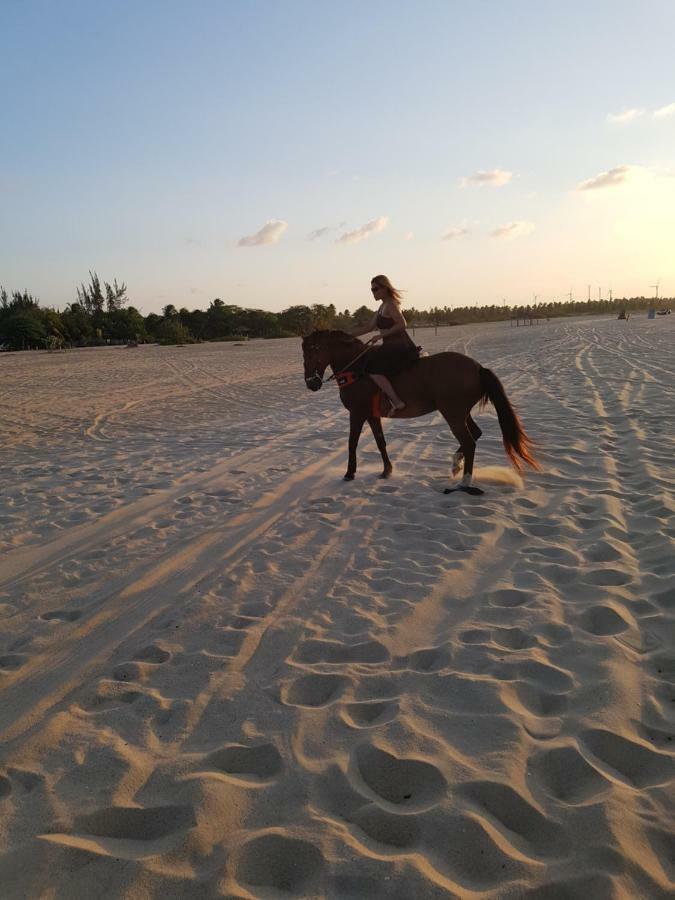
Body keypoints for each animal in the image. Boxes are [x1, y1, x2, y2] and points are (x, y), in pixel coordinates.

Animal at [304, 330, 540, 496]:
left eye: (313, 350)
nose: (311, 383)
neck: (357, 369)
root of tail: (478, 367)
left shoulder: (357, 414)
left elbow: (352, 442)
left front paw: (349, 473)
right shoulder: (372, 416)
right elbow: (380, 442)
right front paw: (387, 470)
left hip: (452, 414)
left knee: (469, 442)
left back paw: (464, 482)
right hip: (460, 413)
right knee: (475, 434)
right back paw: (456, 465)